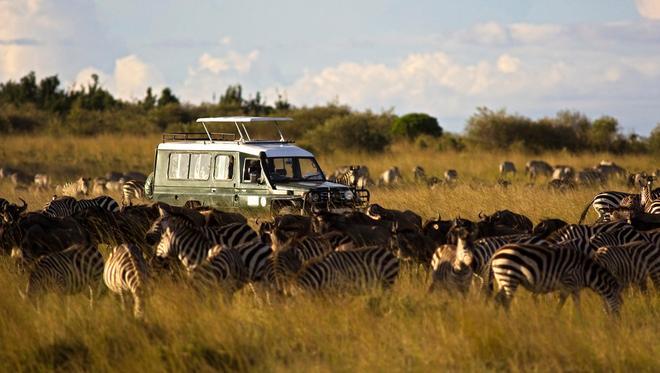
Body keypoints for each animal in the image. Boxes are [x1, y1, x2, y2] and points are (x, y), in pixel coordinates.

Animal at [490, 241, 624, 314]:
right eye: (621, 303)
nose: (618, 322)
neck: (586, 271)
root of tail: (496, 253)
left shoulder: (575, 288)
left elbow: (577, 305)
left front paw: (579, 321)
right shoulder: (569, 283)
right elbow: (561, 302)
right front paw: (555, 317)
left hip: (502, 280)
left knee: (497, 300)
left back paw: (497, 319)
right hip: (510, 277)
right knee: (505, 301)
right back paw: (509, 320)